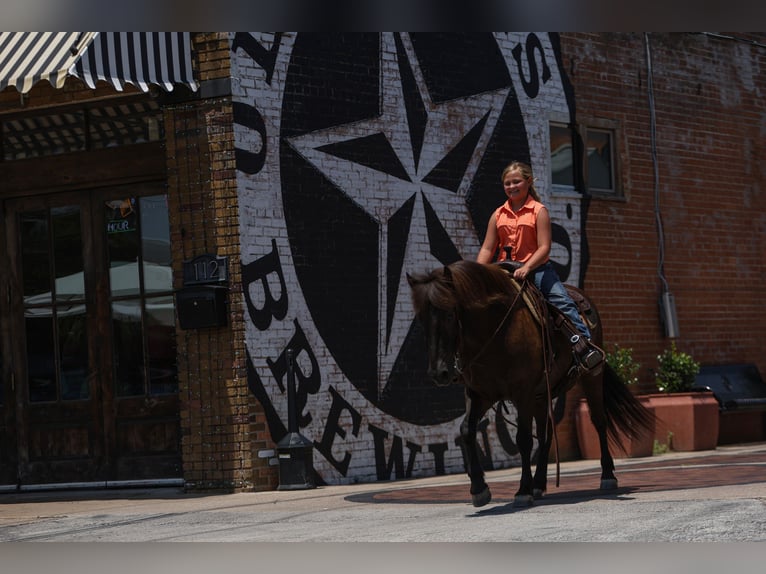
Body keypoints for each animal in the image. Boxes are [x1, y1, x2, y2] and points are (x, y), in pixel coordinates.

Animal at [412, 260, 656, 508]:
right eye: (421, 319)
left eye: (449, 314)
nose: (439, 373)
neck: (495, 333)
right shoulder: (479, 394)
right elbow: (466, 431)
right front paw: (479, 489)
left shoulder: (523, 393)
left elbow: (523, 440)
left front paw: (522, 490)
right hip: (541, 396)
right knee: (546, 434)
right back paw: (539, 484)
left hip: (590, 377)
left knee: (598, 421)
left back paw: (607, 475)